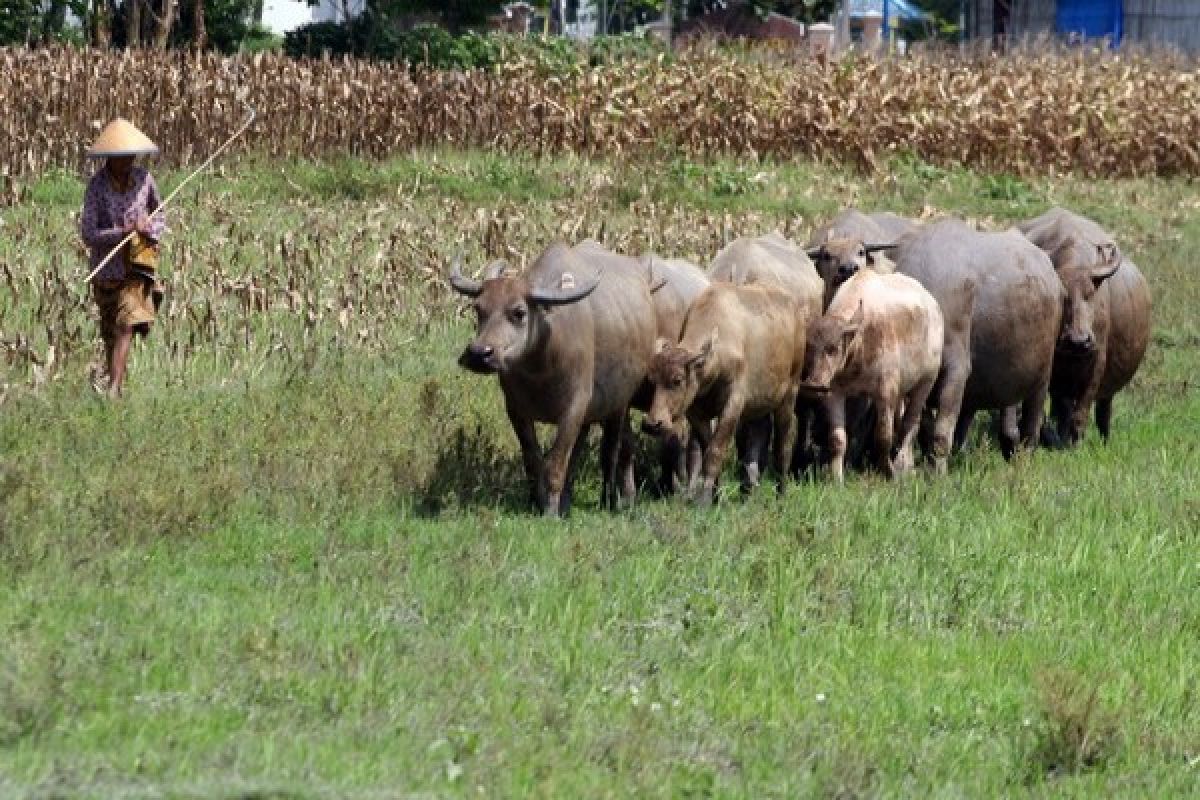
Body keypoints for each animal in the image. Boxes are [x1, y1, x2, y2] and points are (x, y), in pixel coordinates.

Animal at [451, 244, 657, 515]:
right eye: (478, 308)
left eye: (519, 312)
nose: (478, 354)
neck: (540, 369)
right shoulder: (516, 410)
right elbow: (533, 459)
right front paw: (536, 502)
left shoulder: (574, 408)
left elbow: (556, 462)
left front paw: (549, 512)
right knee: (580, 453)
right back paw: (567, 502)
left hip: (618, 404)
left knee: (613, 451)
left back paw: (612, 500)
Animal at [638, 284, 806, 503]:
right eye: (652, 381)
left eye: (677, 380)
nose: (652, 424)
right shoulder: (696, 412)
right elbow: (707, 448)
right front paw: (716, 496)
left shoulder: (733, 405)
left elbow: (715, 451)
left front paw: (704, 499)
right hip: (758, 406)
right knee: (757, 436)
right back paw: (748, 491)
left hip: (789, 395)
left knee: (782, 445)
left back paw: (781, 494)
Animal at [796, 268, 945, 482]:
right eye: (808, 348)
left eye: (833, 348)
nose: (813, 385)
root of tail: (933, 306)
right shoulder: (834, 394)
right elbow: (837, 439)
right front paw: (836, 477)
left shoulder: (885, 393)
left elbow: (883, 437)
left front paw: (888, 471)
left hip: (926, 381)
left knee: (911, 423)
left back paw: (904, 464)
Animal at [892, 219, 1070, 470]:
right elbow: (924, 428)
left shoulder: (956, 370)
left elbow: (941, 432)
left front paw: (937, 471)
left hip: (1041, 379)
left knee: (1031, 428)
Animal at [1022, 206, 1152, 443]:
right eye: (1061, 295)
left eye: (1091, 293)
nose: (1078, 341)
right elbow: (1060, 409)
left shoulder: (1097, 361)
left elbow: (1081, 413)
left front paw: (1076, 441)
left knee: (1103, 410)